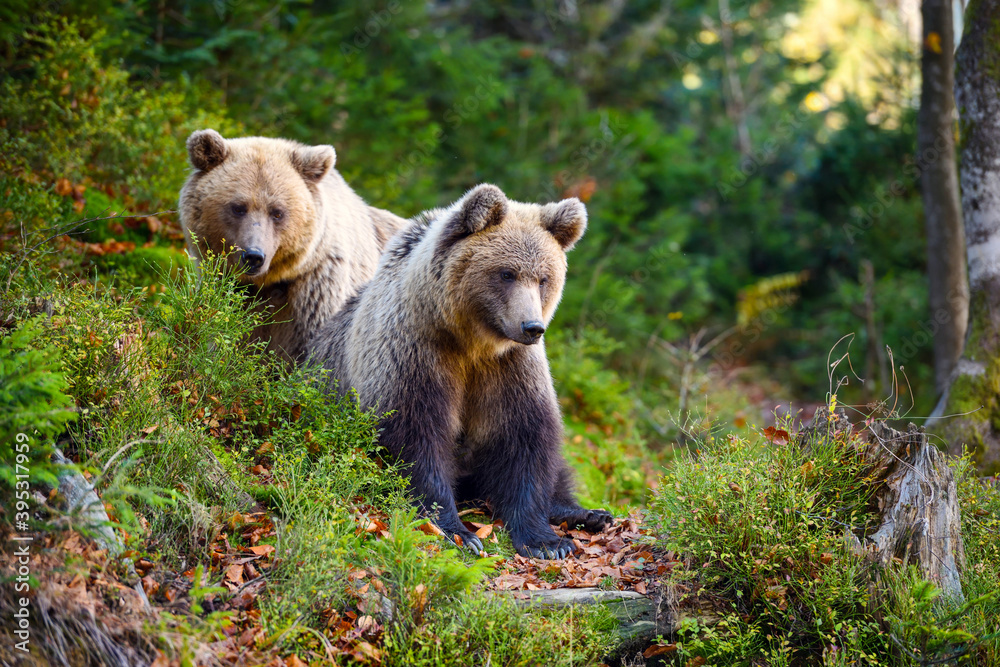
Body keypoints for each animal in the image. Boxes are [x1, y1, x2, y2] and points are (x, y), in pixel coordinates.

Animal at [308, 183, 613, 558]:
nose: (532, 327)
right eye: (506, 273)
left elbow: (525, 438)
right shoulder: (416, 351)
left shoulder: (509, 367)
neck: (470, 340)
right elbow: (417, 435)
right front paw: (458, 531)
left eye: (544, 278)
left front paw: (547, 541)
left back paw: (588, 513)